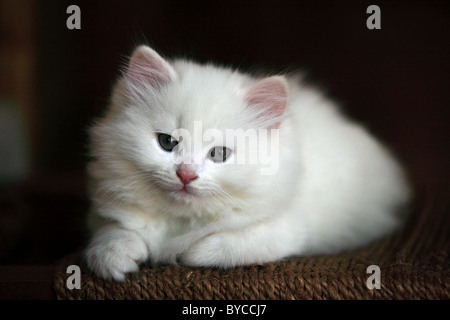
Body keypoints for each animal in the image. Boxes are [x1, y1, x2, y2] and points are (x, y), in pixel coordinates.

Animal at [84, 45, 412, 280]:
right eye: (167, 143)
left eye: (218, 154)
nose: (186, 174)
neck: (184, 219)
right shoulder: (107, 208)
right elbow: (113, 230)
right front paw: (113, 259)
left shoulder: (284, 230)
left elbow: (225, 245)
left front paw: (182, 252)